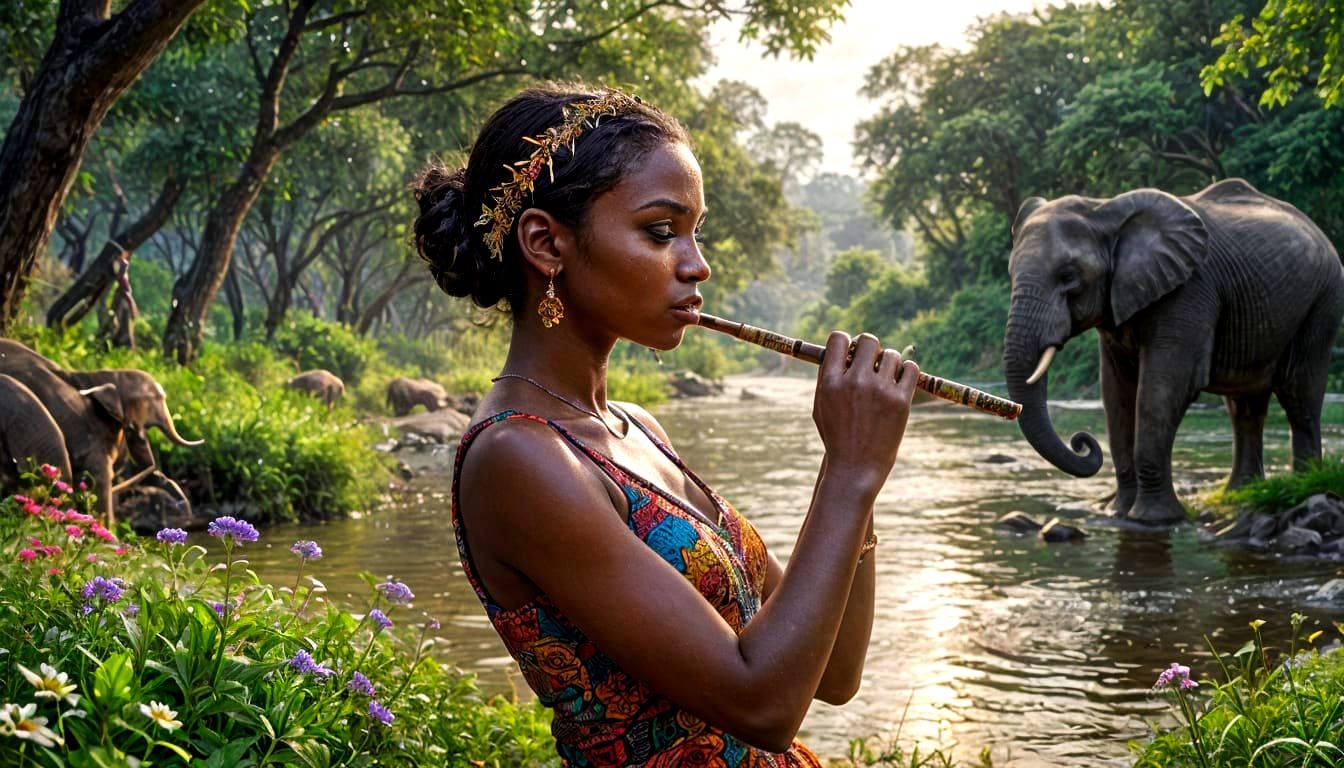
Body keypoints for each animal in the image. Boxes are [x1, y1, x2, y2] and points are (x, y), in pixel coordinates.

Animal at [1003, 179, 1344, 525]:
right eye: (1010, 273)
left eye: (1069, 276)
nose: (1081, 441)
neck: (1102, 210)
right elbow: (1116, 392)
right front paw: (1117, 512)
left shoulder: (1189, 289)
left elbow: (1163, 389)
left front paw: (1153, 519)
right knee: (1245, 406)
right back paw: (1240, 493)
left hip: (1324, 300)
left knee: (1298, 393)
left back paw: (1301, 486)